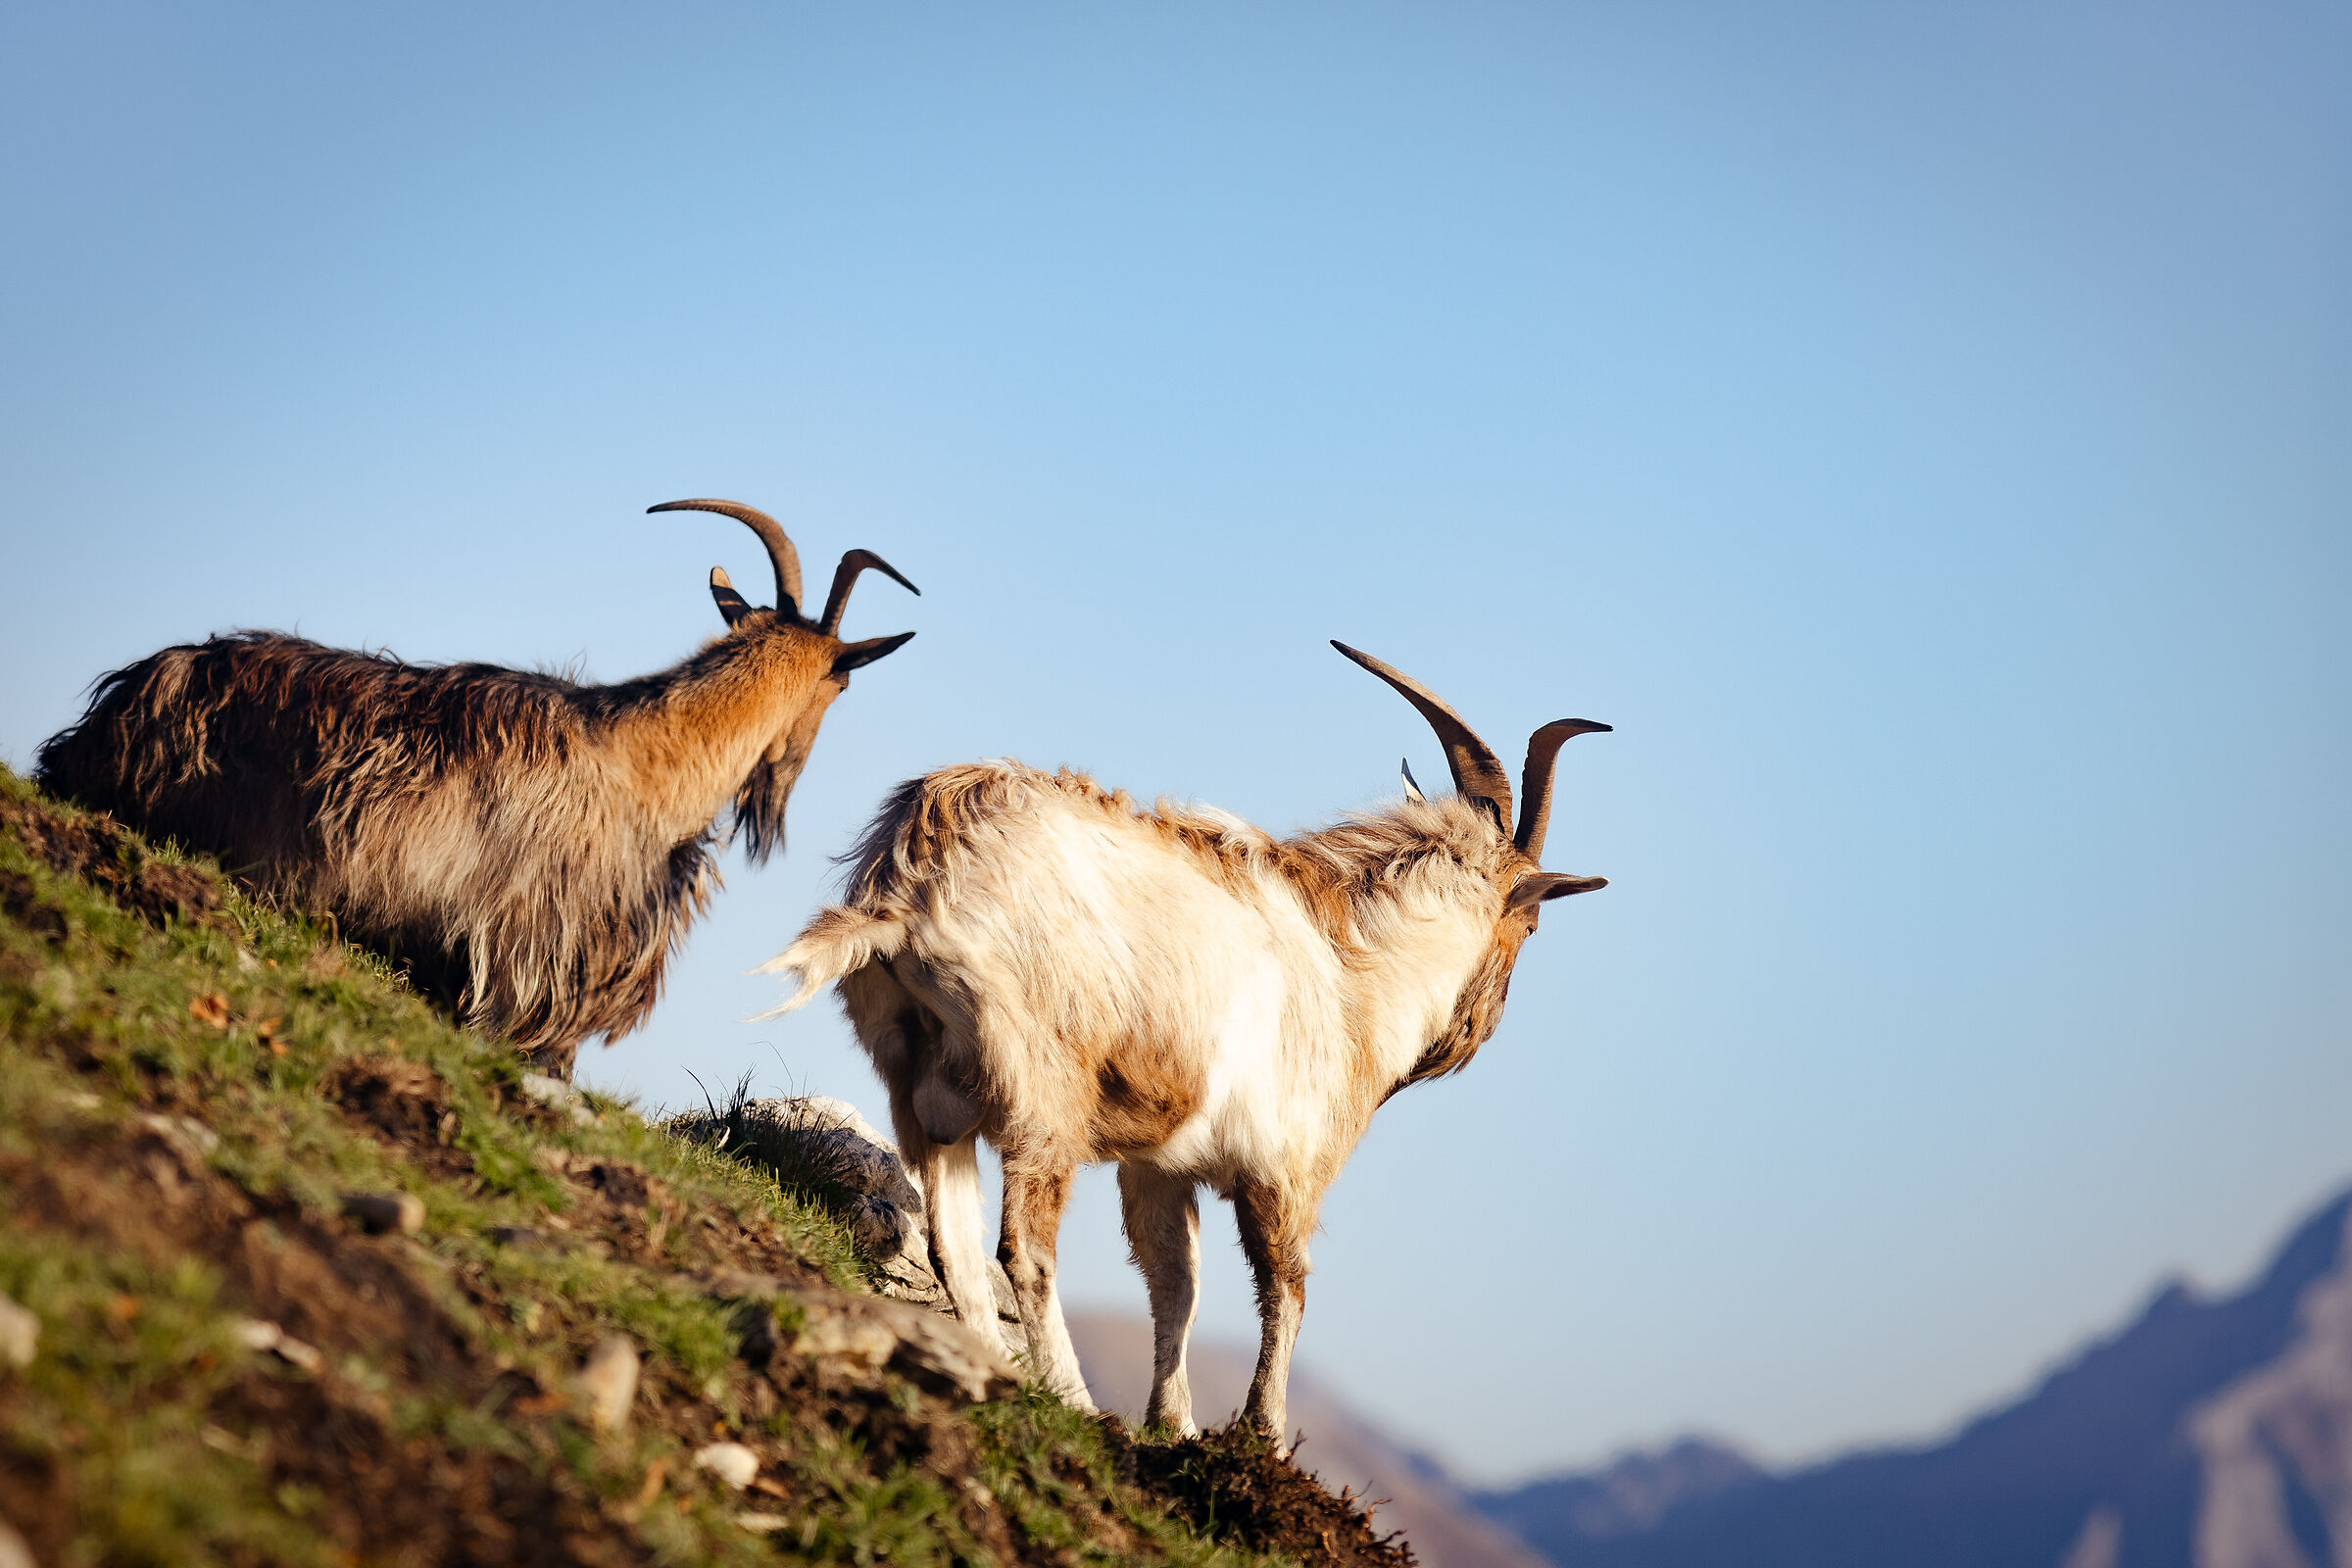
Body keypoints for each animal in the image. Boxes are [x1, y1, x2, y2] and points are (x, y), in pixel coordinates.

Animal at [762, 640, 1608, 1441]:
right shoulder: (1285, 1168)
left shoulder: (1159, 1166)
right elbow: (1287, 1287)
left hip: (922, 1089)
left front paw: (1175, 1422)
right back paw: (1072, 1398)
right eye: (1531, 923)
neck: (1343, 963)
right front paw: (1262, 1435)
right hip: (1041, 1094)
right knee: (1024, 1247)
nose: (1475, 1032)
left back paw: (991, 1367)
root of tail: (910, 882)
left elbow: (1177, 1284)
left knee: (955, 1246)